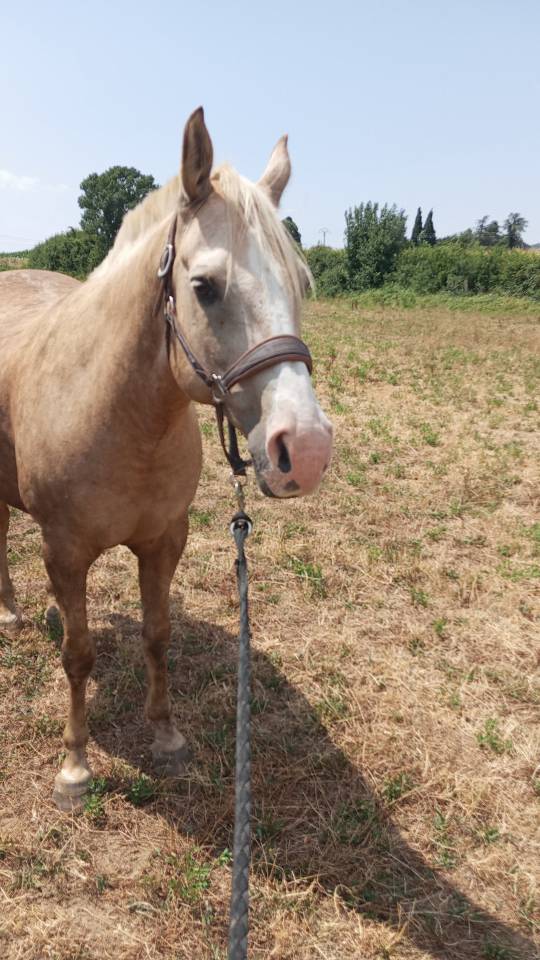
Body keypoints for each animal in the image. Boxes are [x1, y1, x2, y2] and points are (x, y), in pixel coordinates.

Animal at [0, 107, 333, 810]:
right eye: (204, 286)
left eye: (299, 285)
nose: (307, 449)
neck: (119, 416)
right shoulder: (64, 550)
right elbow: (78, 655)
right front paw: (75, 768)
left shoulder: (163, 541)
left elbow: (157, 637)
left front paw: (166, 737)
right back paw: (11, 613)